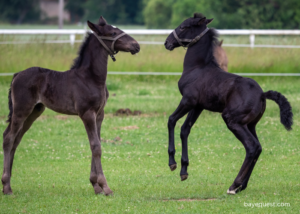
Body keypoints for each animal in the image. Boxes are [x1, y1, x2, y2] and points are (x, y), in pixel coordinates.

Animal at [1, 16, 140, 196]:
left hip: (34, 111)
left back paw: (8, 185)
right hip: (21, 110)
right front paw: (105, 187)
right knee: (8, 138)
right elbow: (96, 146)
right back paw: (6, 186)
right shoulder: (87, 113)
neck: (91, 77)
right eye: (113, 33)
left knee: (16, 139)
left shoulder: (99, 114)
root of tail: (17, 75)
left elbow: (97, 143)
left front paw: (95, 185)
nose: (136, 45)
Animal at [164, 12, 292, 194]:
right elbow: (185, 129)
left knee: (252, 147)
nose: (167, 43)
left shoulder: (187, 101)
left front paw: (172, 163)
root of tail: (262, 94)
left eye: (183, 26)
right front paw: (184, 171)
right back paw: (241, 186)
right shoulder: (198, 106)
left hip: (233, 121)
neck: (197, 68)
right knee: (258, 147)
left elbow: (171, 120)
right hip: (250, 124)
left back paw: (234, 185)